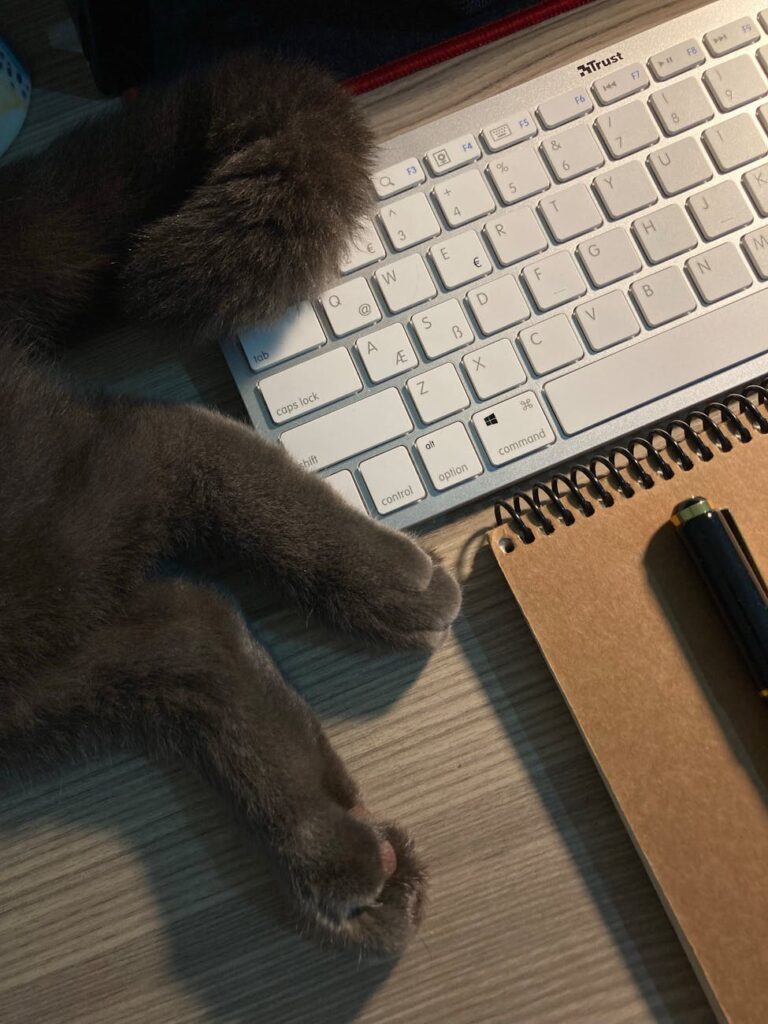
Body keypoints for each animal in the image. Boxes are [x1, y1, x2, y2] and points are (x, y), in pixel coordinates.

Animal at [0, 54, 460, 950]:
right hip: (32, 669)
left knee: (162, 443)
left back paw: (392, 581)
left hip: (37, 544)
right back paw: (345, 860)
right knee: (192, 629)